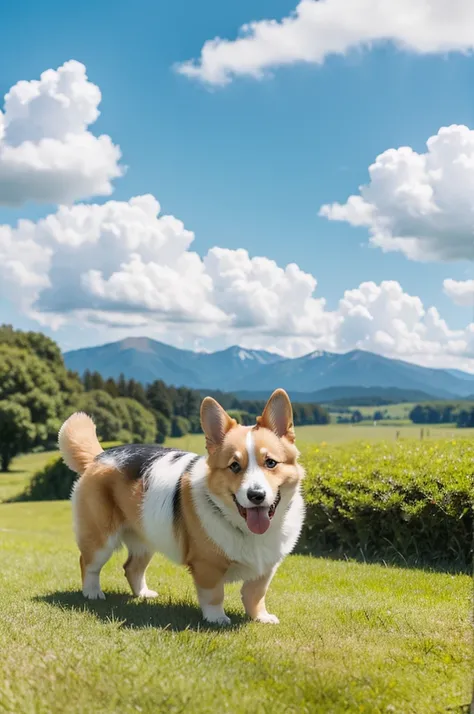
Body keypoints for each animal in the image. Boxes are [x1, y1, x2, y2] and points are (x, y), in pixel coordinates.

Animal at [58, 390, 304, 624]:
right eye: (234, 466)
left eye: (270, 462)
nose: (256, 496)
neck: (243, 527)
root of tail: (99, 456)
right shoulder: (207, 566)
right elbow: (214, 596)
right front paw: (217, 619)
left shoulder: (266, 569)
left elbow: (255, 594)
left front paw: (261, 617)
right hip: (101, 538)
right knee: (88, 563)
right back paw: (92, 593)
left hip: (146, 537)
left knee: (132, 567)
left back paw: (143, 594)